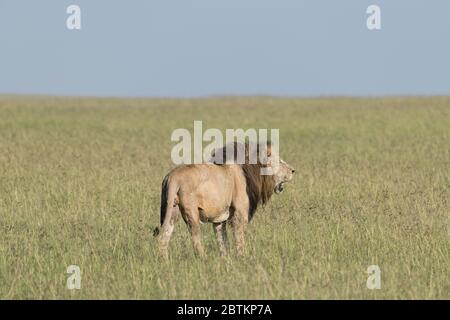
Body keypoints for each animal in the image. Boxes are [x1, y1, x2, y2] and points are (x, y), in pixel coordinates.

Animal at [154, 142, 296, 258]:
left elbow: (223, 242)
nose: (293, 170)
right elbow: (239, 240)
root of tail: (172, 177)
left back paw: (164, 263)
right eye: (280, 161)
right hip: (191, 211)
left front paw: (226, 260)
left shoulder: (219, 220)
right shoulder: (240, 214)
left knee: (163, 237)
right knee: (196, 238)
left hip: (172, 210)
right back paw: (203, 260)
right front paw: (243, 259)